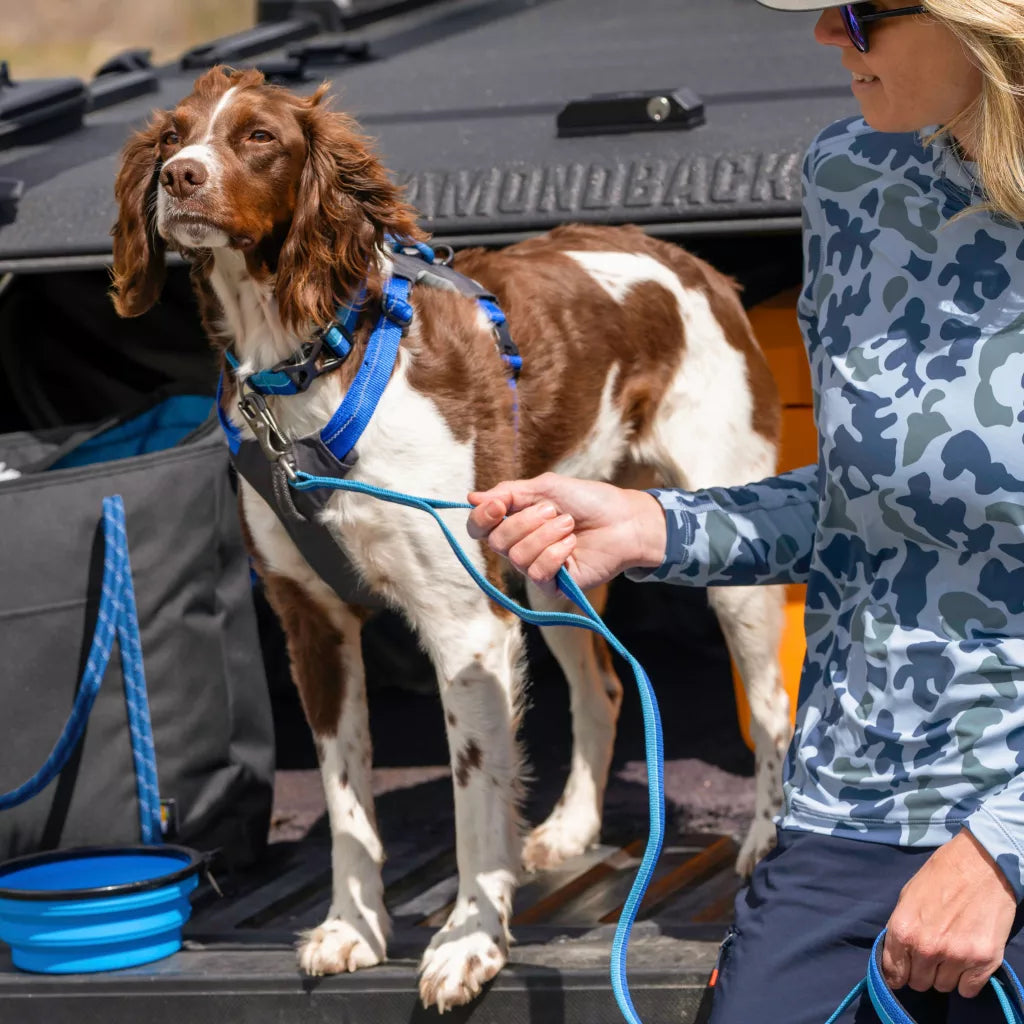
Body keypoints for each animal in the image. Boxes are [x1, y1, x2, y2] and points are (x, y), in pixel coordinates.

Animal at [108, 68, 786, 1011]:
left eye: (259, 138)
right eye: (172, 136)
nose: (181, 177)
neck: (307, 369)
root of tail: (694, 264)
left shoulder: (465, 626)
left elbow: (473, 800)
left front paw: (470, 941)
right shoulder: (313, 625)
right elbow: (347, 801)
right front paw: (353, 930)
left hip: (728, 562)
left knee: (772, 706)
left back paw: (764, 839)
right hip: (544, 561)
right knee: (606, 687)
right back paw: (571, 829)